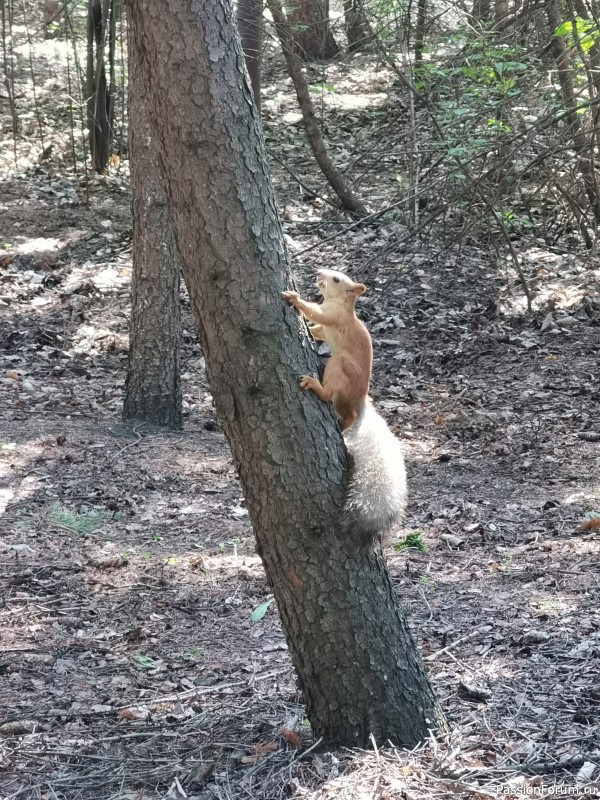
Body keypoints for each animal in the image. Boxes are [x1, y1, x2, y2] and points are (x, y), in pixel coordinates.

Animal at [282, 272, 406, 548]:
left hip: (339, 366)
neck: (340, 304)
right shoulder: (326, 326)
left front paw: (294, 298)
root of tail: (360, 403)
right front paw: (308, 329)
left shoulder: (333, 317)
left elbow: (316, 313)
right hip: (344, 397)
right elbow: (317, 330)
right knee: (347, 415)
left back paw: (316, 386)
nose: (319, 272)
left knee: (333, 397)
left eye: (337, 279)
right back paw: (341, 424)